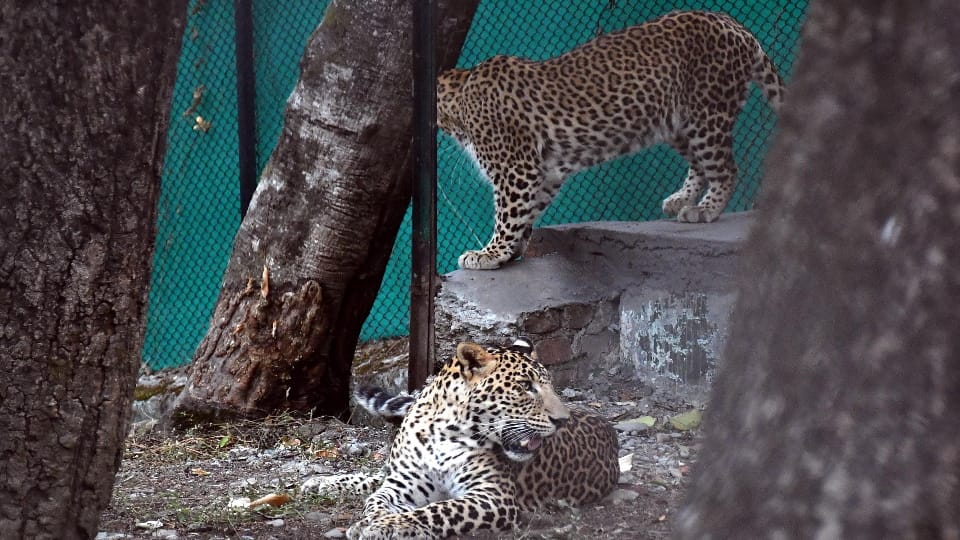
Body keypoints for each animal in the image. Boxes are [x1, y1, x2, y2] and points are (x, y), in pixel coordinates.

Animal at [303, 339, 620, 540]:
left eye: (549, 385)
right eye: (525, 386)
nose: (562, 420)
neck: (444, 433)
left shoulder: (494, 496)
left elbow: (438, 510)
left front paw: (384, 526)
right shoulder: (402, 485)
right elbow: (376, 500)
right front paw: (373, 520)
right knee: (376, 477)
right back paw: (319, 482)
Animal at [437, 10, 785, 270]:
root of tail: (734, 24)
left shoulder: (516, 169)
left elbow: (508, 214)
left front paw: (490, 253)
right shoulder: (545, 172)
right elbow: (529, 211)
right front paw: (513, 249)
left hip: (707, 114)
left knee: (726, 168)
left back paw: (705, 210)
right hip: (677, 124)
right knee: (699, 165)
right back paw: (682, 199)